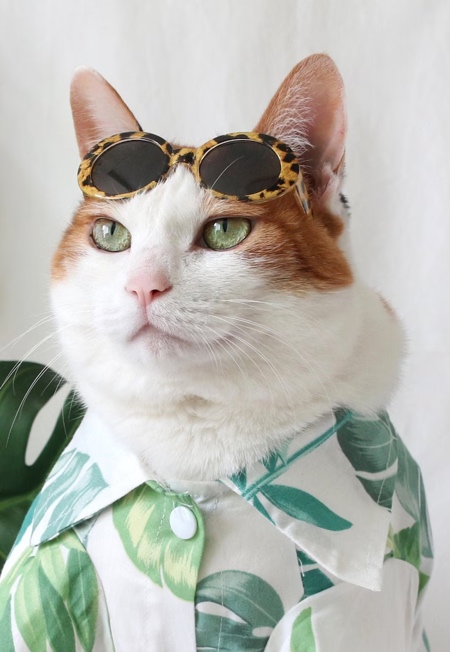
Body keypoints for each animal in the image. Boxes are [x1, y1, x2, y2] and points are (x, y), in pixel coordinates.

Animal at [0, 54, 432, 652]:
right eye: (110, 234)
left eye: (226, 230)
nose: (143, 285)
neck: (194, 435)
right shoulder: (41, 583)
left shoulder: (351, 610)